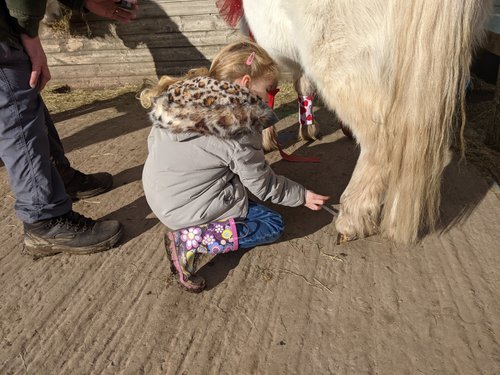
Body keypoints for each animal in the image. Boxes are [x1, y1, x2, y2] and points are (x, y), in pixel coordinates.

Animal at [242, 0, 492, 244]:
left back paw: (351, 220)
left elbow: (267, 87)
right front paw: (308, 129)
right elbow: (303, 85)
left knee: (381, 144)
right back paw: (393, 218)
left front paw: (268, 138)